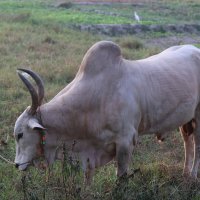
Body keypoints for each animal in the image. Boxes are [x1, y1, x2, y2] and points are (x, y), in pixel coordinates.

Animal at [14, 41, 200, 182]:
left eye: (20, 135)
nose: (16, 165)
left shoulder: (126, 141)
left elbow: (121, 177)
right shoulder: (90, 154)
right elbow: (87, 177)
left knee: (197, 145)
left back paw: (192, 176)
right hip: (185, 121)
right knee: (187, 143)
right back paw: (185, 174)